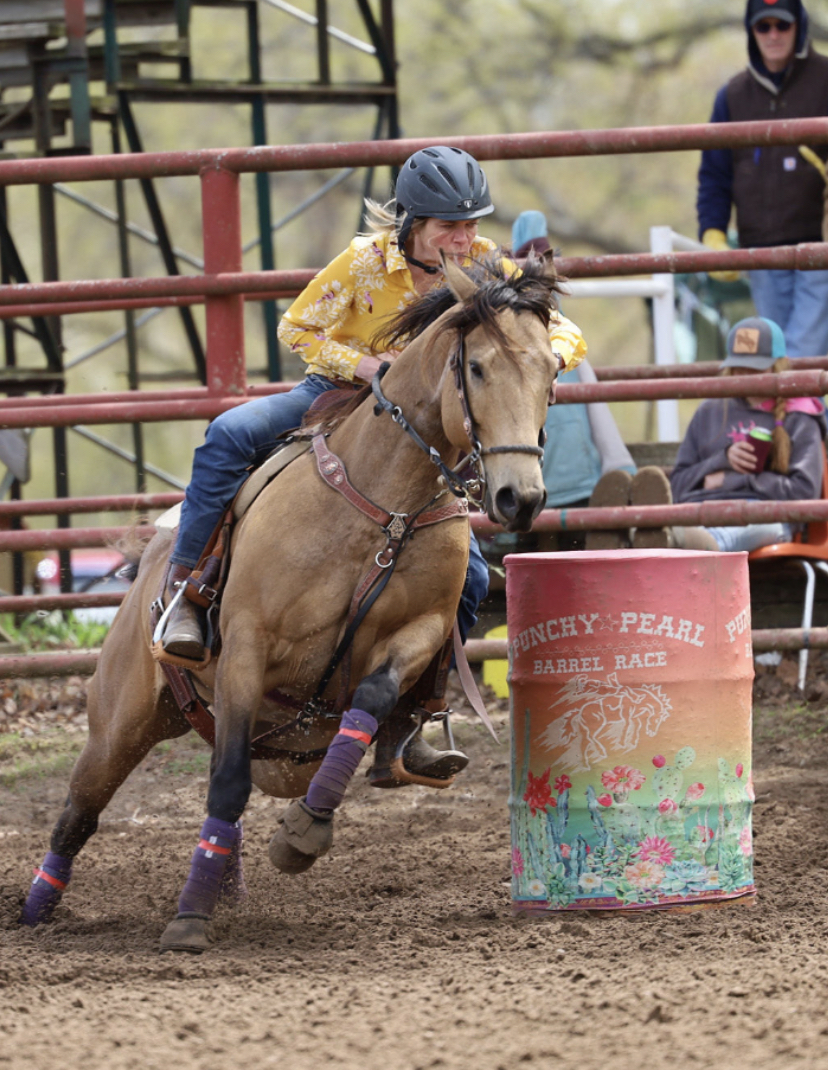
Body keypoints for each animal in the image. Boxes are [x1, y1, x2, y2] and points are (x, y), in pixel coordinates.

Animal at [19, 252, 564, 954]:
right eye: (477, 368)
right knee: (78, 815)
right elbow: (225, 782)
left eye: (552, 372)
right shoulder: (249, 649)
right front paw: (188, 921)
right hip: (119, 724)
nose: (519, 498)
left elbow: (373, 698)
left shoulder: (420, 633)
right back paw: (36, 914)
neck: (386, 509)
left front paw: (303, 835)